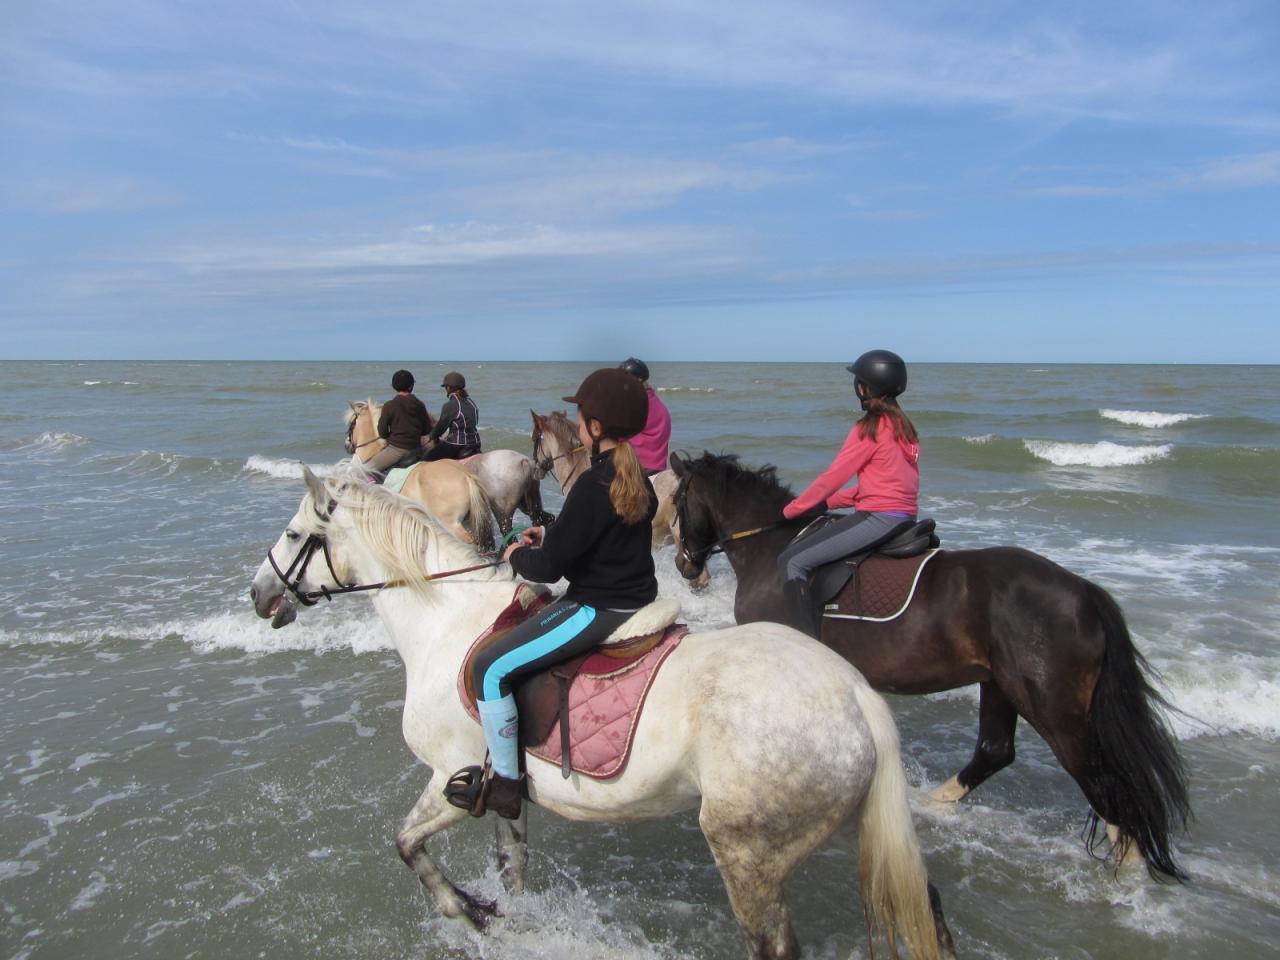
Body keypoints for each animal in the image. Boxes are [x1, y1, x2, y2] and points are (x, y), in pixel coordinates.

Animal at [249, 468, 957, 960]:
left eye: (293, 535)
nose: (259, 595)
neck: (446, 620)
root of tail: (856, 695)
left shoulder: (449, 777)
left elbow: (407, 845)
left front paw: (468, 912)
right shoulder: (504, 792)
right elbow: (512, 866)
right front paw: (510, 921)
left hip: (748, 853)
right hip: (850, 822)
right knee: (929, 908)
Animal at [670, 453, 1187, 885]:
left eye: (677, 500)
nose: (684, 566)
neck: (769, 548)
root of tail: (1083, 593)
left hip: (1051, 704)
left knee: (1100, 777)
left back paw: (1130, 859)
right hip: (999, 685)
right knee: (996, 751)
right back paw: (932, 803)